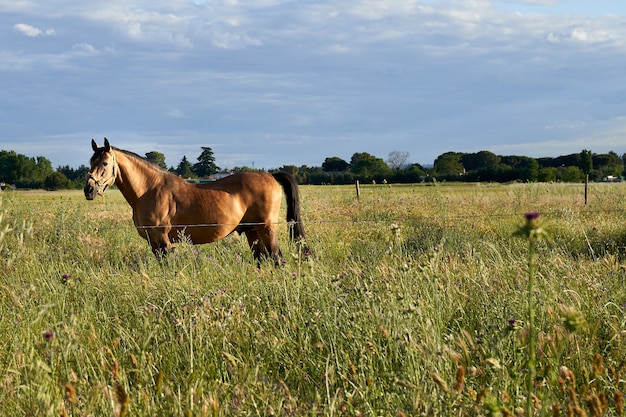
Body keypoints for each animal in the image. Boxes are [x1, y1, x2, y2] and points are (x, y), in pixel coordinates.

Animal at [84, 137, 304, 260]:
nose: (89, 189)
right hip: (252, 231)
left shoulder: (163, 240)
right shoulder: (153, 243)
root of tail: (270, 176)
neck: (149, 190)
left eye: (104, 163)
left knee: (276, 258)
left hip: (266, 229)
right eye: (91, 161)